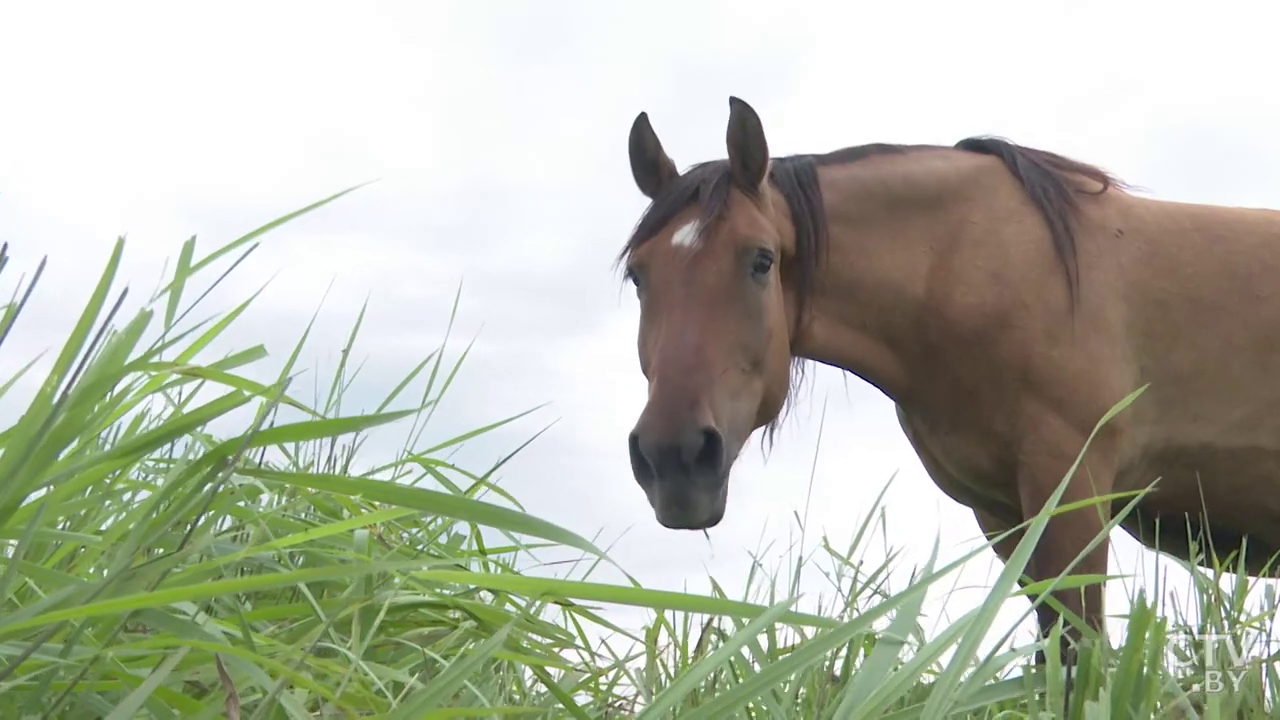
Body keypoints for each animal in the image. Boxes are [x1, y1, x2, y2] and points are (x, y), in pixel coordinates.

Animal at [611, 94, 1280, 661]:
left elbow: (1078, 650)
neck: (976, 272)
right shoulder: (1002, 512)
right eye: (639, 275)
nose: (674, 456)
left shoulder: (1073, 490)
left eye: (761, 260)